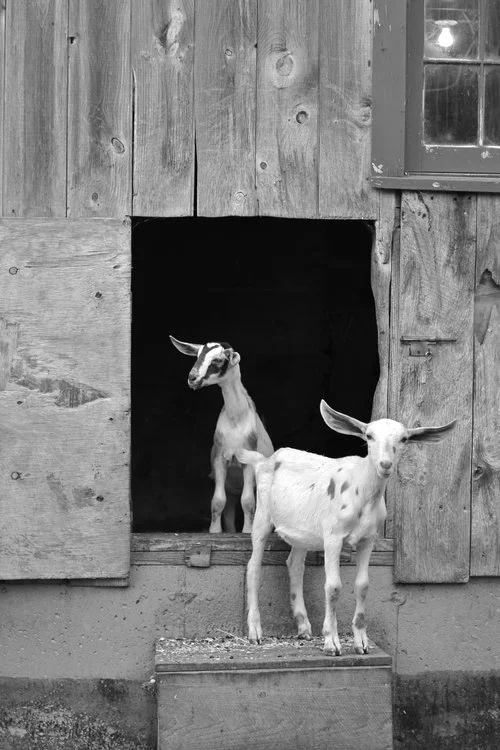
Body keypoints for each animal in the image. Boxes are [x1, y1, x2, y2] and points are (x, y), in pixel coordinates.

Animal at [170, 335, 274, 533]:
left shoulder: (248, 460)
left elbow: (248, 501)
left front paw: (247, 531)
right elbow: (218, 501)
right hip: (232, 491)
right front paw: (215, 531)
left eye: (217, 360)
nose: (192, 378)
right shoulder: (220, 458)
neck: (236, 419)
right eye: (198, 355)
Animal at [237, 400, 456, 655]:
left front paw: (361, 642)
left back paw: (303, 626)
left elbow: (362, 585)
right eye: (369, 436)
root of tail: (265, 461)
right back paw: (255, 632)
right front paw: (332, 642)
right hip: (262, 514)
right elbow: (333, 587)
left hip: (303, 531)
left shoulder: (368, 539)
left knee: (295, 565)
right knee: (253, 567)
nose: (385, 464)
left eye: (404, 439)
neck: (362, 490)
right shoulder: (333, 536)